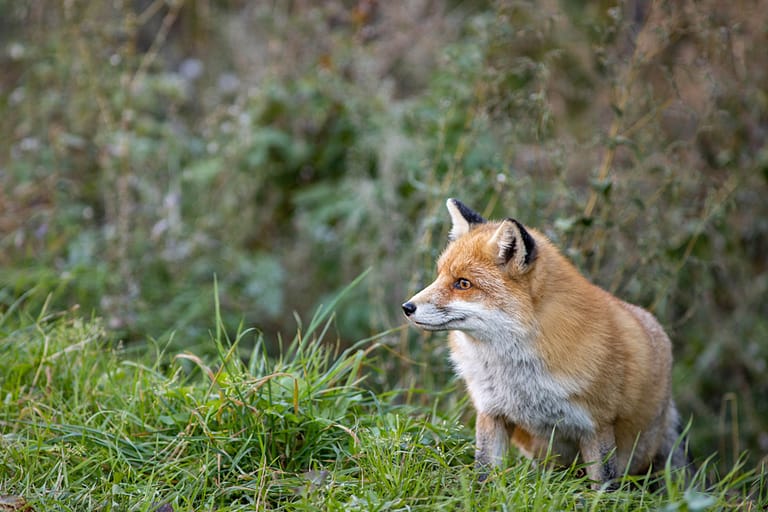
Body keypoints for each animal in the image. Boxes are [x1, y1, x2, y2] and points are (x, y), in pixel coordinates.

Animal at [402, 197, 688, 488]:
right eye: (439, 275)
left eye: (463, 283)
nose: (407, 307)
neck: (519, 377)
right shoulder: (491, 412)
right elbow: (484, 473)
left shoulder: (597, 426)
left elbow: (603, 488)